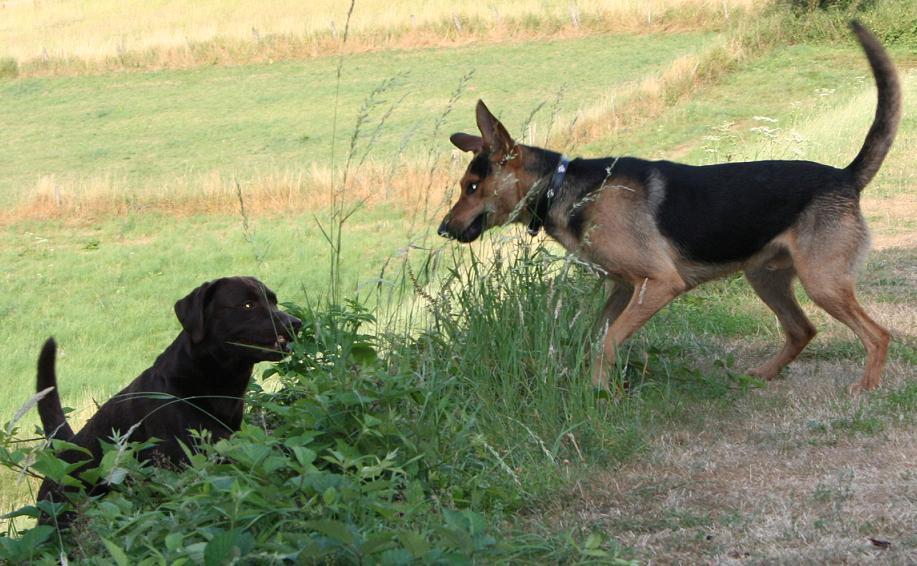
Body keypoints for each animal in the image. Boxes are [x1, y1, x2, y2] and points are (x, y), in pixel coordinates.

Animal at [438, 22, 900, 394]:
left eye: (472, 187)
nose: (443, 229)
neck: (562, 184)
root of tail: (846, 176)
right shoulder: (622, 287)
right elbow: (596, 337)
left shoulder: (658, 283)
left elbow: (607, 343)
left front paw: (601, 393)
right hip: (765, 277)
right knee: (802, 329)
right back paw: (763, 374)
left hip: (821, 282)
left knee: (877, 335)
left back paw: (866, 387)